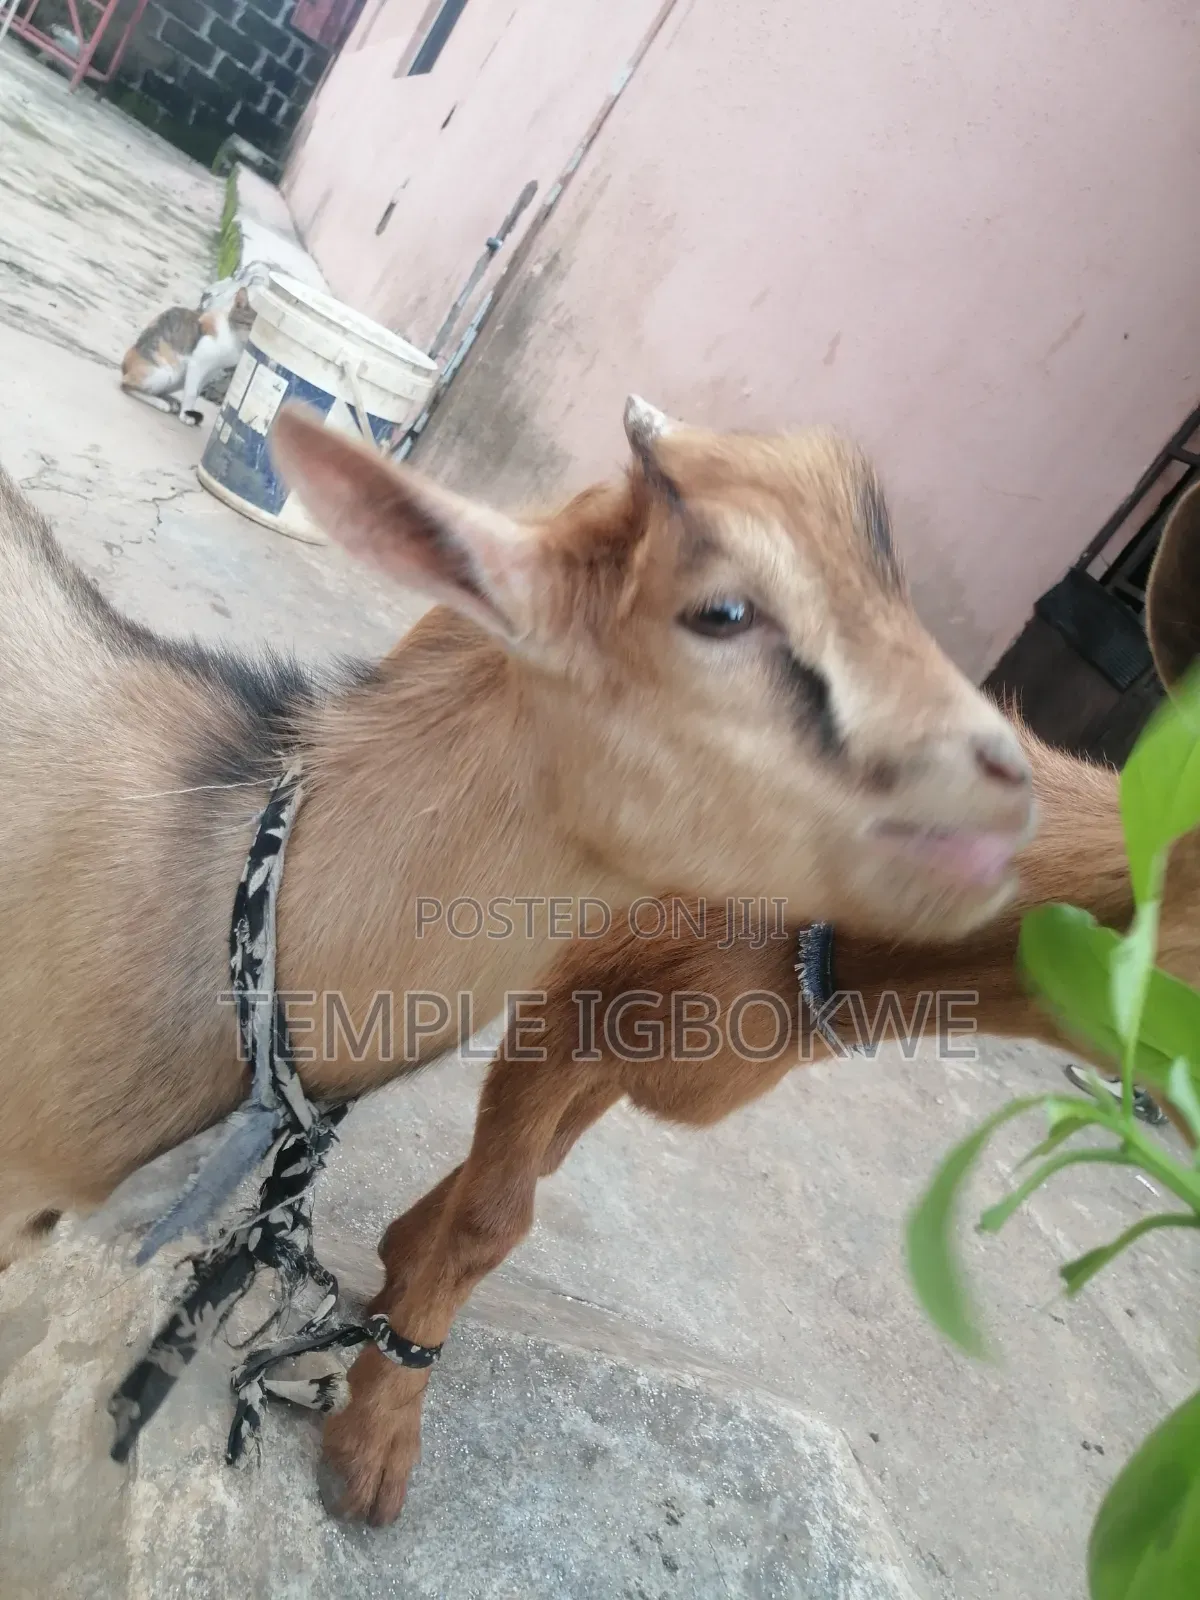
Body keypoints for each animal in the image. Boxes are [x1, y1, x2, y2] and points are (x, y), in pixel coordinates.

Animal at [318, 482, 1200, 1527]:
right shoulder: (575, 1003)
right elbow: (497, 1215)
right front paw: (378, 1431)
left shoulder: (640, 1033)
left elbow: (533, 1169)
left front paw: (397, 1271)